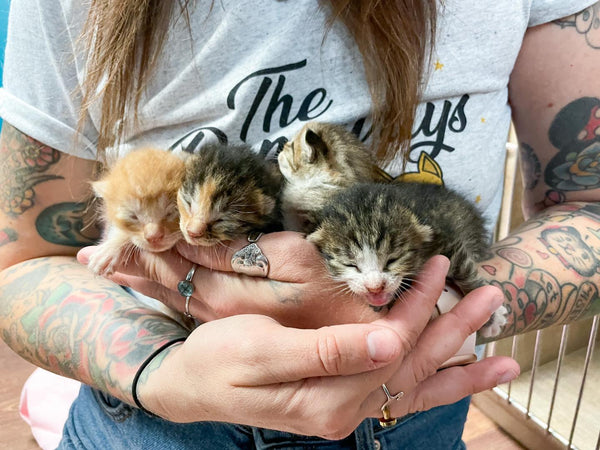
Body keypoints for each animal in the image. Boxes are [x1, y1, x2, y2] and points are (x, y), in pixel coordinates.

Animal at [308, 183, 508, 338]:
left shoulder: (445, 239)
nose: (375, 288)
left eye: (392, 260)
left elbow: (465, 272)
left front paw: (491, 314)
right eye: (350, 264)